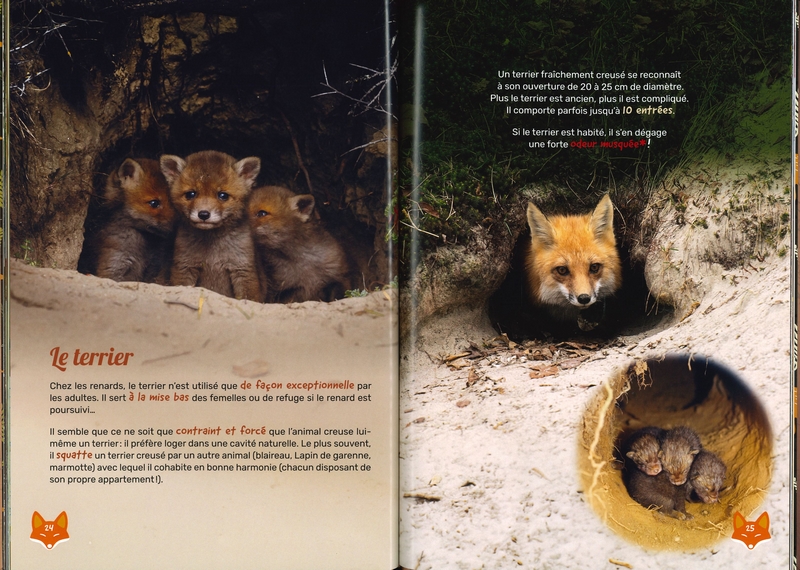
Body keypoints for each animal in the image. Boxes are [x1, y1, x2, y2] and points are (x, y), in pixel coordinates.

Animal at [160, 151, 263, 301]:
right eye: (191, 194)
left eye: (223, 195)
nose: (203, 214)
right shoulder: (185, 266)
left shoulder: (241, 267)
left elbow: (248, 298)